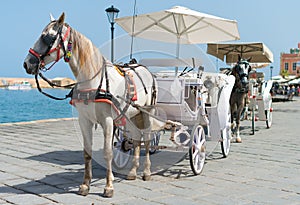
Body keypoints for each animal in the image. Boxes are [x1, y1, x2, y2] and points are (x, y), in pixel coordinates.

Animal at [23, 12, 157, 197]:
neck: (92, 79)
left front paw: (108, 186)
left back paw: (146, 172)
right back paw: (132, 172)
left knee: (147, 140)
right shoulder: (84, 120)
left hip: (146, 112)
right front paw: (85, 185)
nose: (27, 63)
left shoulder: (108, 121)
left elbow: (108, 152)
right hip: (132, 114)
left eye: (48, 37)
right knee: (137, 139)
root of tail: (144, 69)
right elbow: (87, 153)